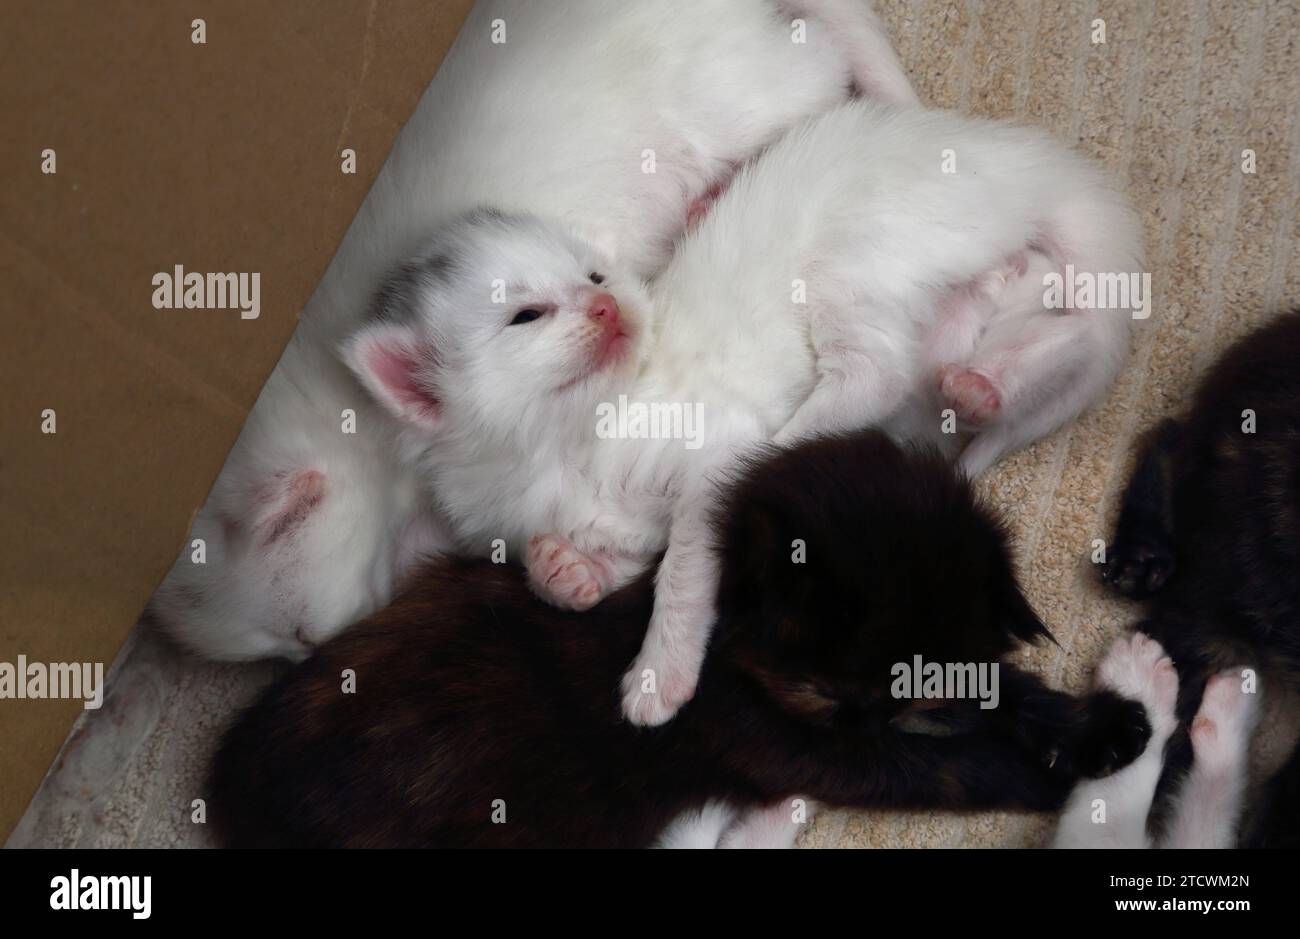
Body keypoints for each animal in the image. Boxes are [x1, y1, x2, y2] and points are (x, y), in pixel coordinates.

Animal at [210, 431, 1149, 847]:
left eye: (910, 687)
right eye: (827, 694)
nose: (869, 721)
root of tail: (232, 780)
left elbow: (1000, 697)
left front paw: (1099, 727)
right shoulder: (787, 741)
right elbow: (941, 766)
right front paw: (1062, 779)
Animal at [351, 98, 1144, 723]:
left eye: (594, 277)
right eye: (527, 315)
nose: (608, 306)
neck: (569, 439)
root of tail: (1022, 158)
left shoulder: (706, 452)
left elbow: (682, 565)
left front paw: (657, 673)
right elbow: (614, 557)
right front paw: (564, 573)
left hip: (859, 247)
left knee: (890, 363)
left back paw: (802, 436)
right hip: (953, 298)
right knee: (1037, 314)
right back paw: (980, 383)